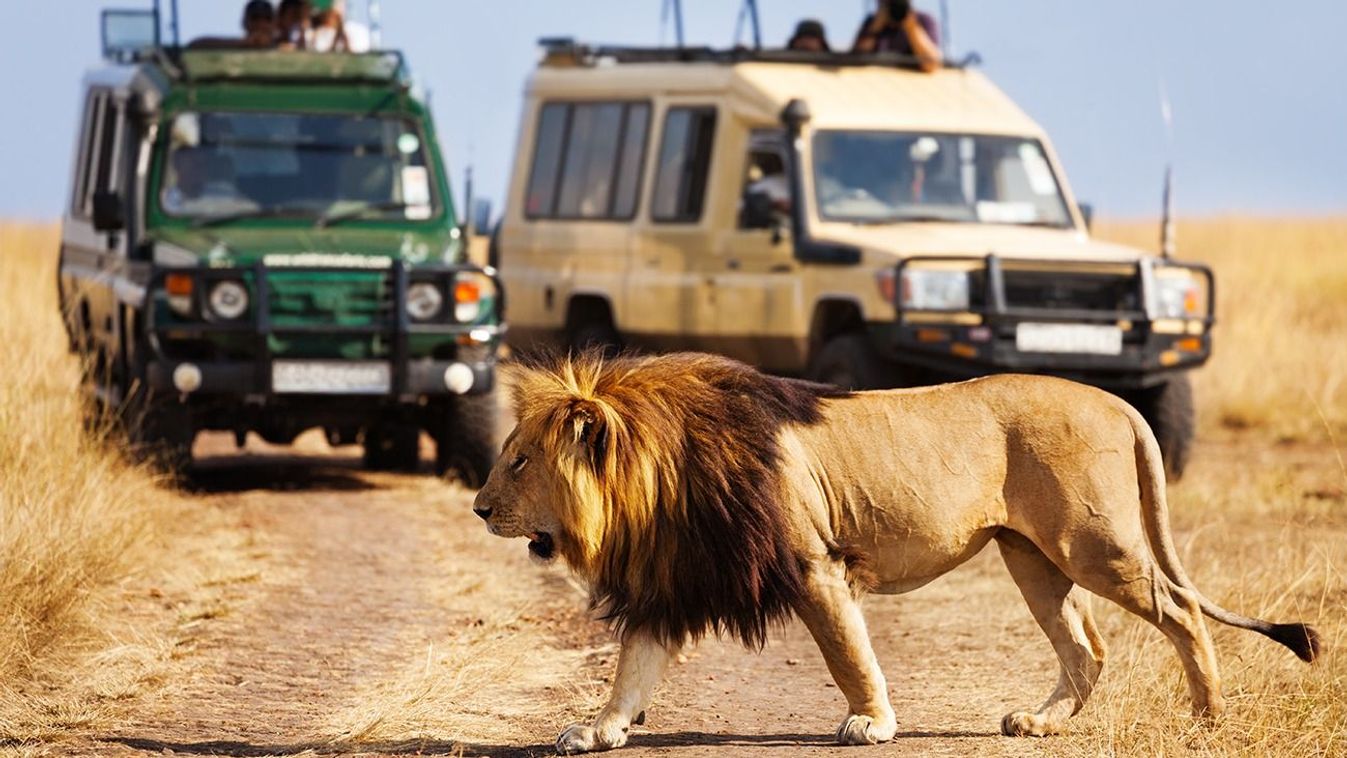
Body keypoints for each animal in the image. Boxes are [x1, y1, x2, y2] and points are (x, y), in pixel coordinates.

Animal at [471, 352, 1314, 753]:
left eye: (518, 461)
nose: (478, 508)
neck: (657, 482)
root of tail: (1116, 400)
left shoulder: (814, 565)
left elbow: (848, 653)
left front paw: (871, 724)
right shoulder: (671, 582)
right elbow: (631, 669)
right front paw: (597, 731)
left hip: (1092, 543)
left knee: (1180, 612)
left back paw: (1206, 719)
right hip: (1030, 556)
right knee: (1086, 646)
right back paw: (1038, 724)